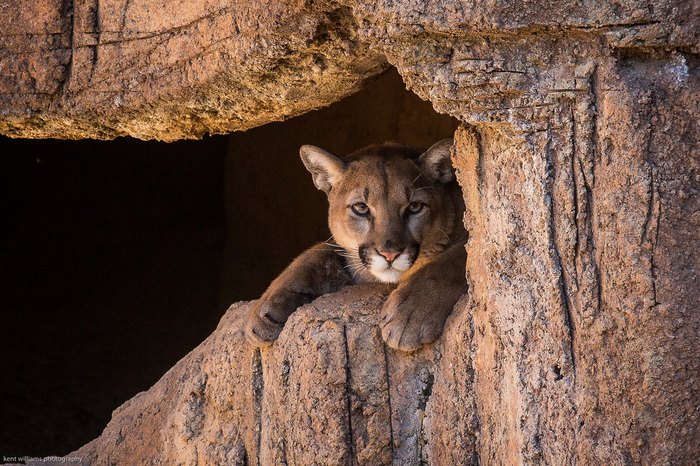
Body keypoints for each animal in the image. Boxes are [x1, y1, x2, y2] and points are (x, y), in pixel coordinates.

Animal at [246, 140, 464, 352]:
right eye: (360, 208)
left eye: (415, 207)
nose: (390, 254)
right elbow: (315, 253)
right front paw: (265, 309)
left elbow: (456, 259)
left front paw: (411, 314)